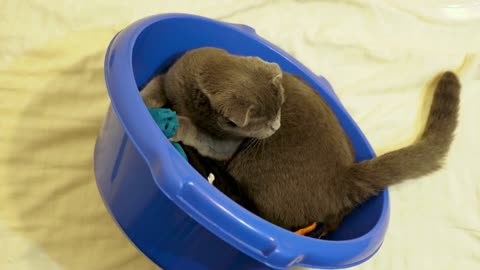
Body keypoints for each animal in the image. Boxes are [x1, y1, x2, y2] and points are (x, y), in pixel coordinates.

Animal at [141, 47, 460, 236]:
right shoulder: (172, 76)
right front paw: (144, 100)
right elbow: (157, 83)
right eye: (270, 117)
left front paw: (176, 126)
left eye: (278, 111)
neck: (194, 105)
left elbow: (201, 134)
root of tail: (345, 174)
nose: (277, 126)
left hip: (254, 173)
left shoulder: (225, 145)